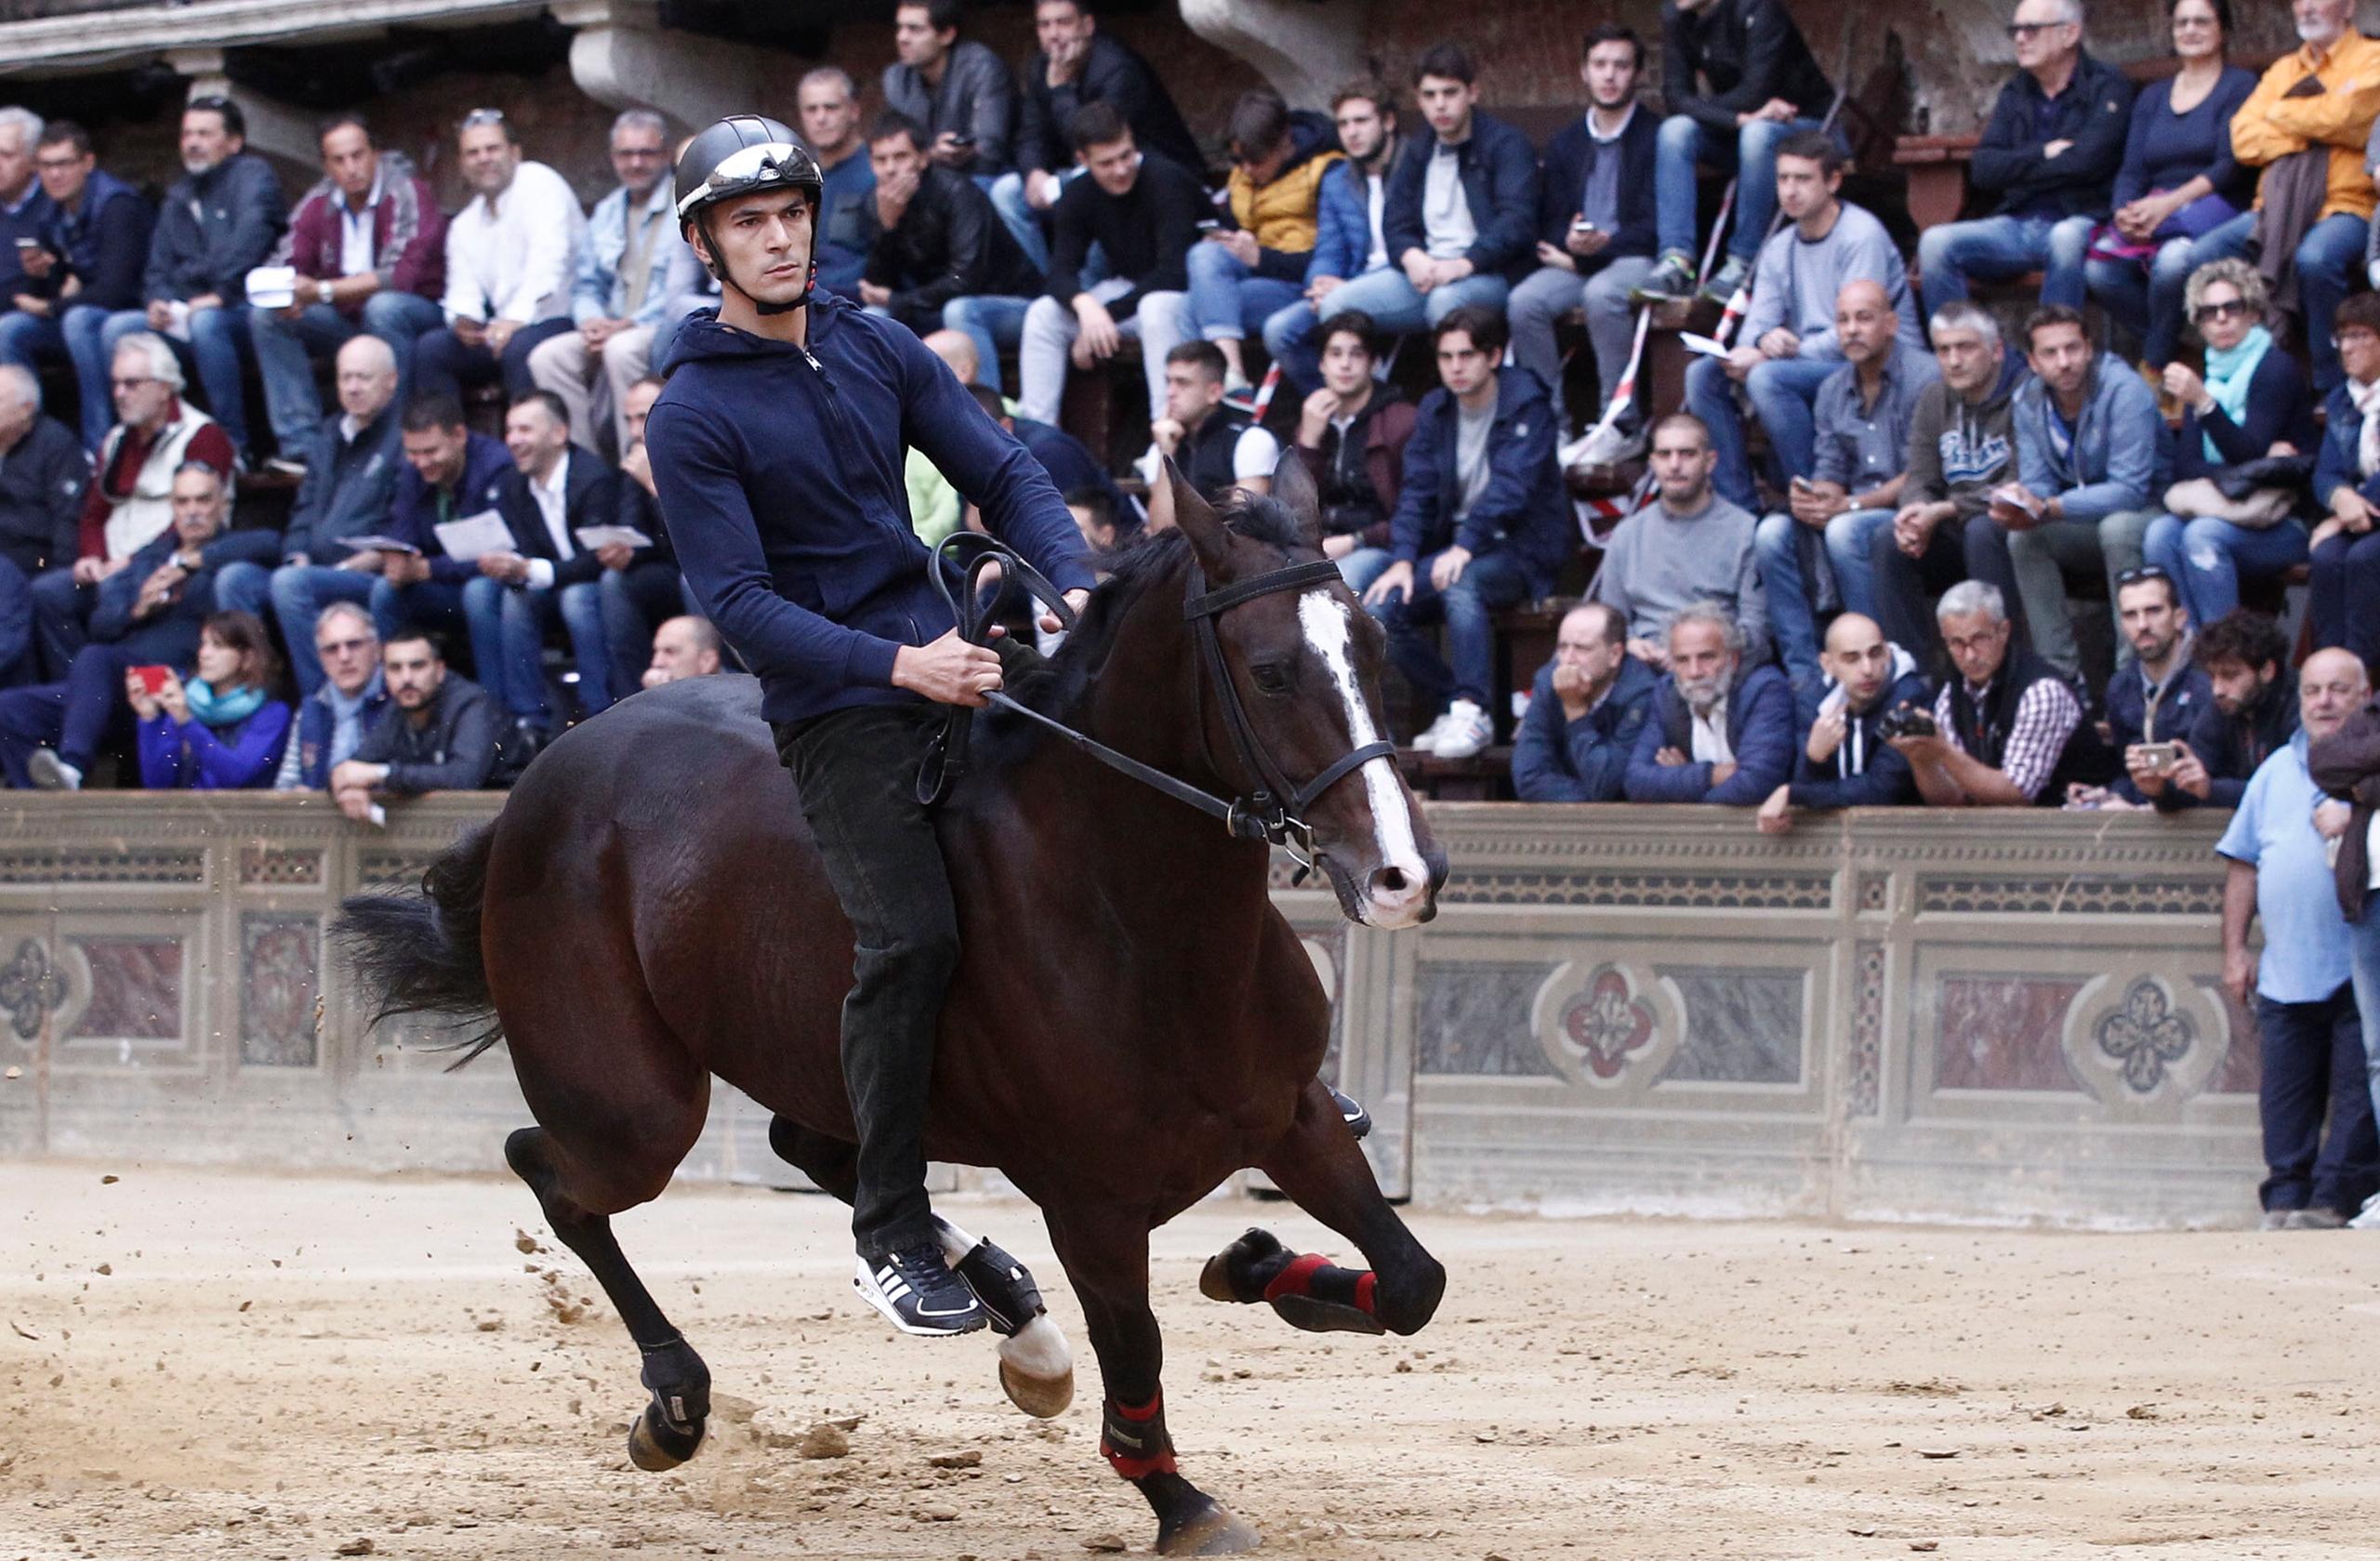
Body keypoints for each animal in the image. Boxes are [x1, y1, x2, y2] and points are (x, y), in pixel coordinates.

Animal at [335, 456, 1447, 1551]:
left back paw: (1003, 1315)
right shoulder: (1092, 1200)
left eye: (1376, 649)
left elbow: (1410, 1281)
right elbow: (1136, 1350)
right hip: (632, 1109)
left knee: (822, 1154)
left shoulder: (1294, 1115)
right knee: (555, 1173)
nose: (1405, 875)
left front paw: (1257, 1264)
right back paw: (679, 1404)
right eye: (1271, 670)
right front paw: (1179, 1500)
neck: (1137, 920)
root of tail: (546, 770)